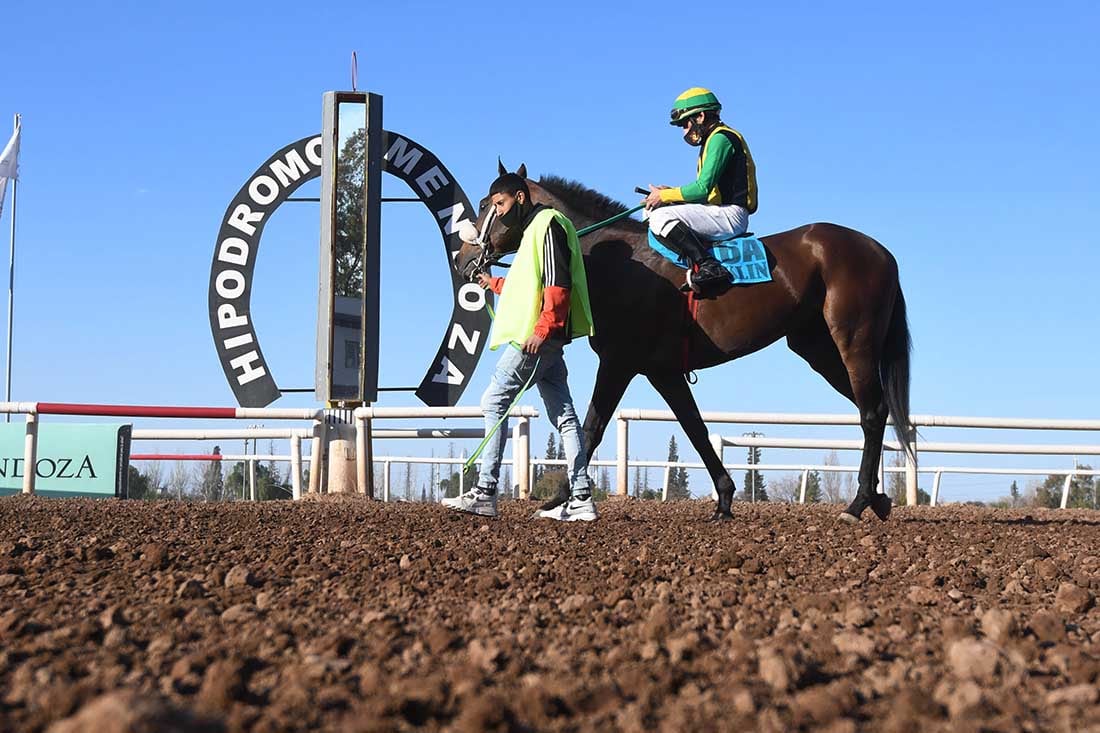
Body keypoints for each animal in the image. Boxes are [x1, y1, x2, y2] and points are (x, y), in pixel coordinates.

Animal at [455, 165, 910, 519]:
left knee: (872, 412)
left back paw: (858, 503)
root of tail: (882, 251)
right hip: (815, 347)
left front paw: (562, 500)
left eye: (489, 203)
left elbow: (592, 428)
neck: (615, 260)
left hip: (852, 339)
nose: (464, 260)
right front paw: (724, 500)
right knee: (876, 408)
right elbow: (694, 428)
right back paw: (878, 498)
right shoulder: (665, 371)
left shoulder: (620, 362)